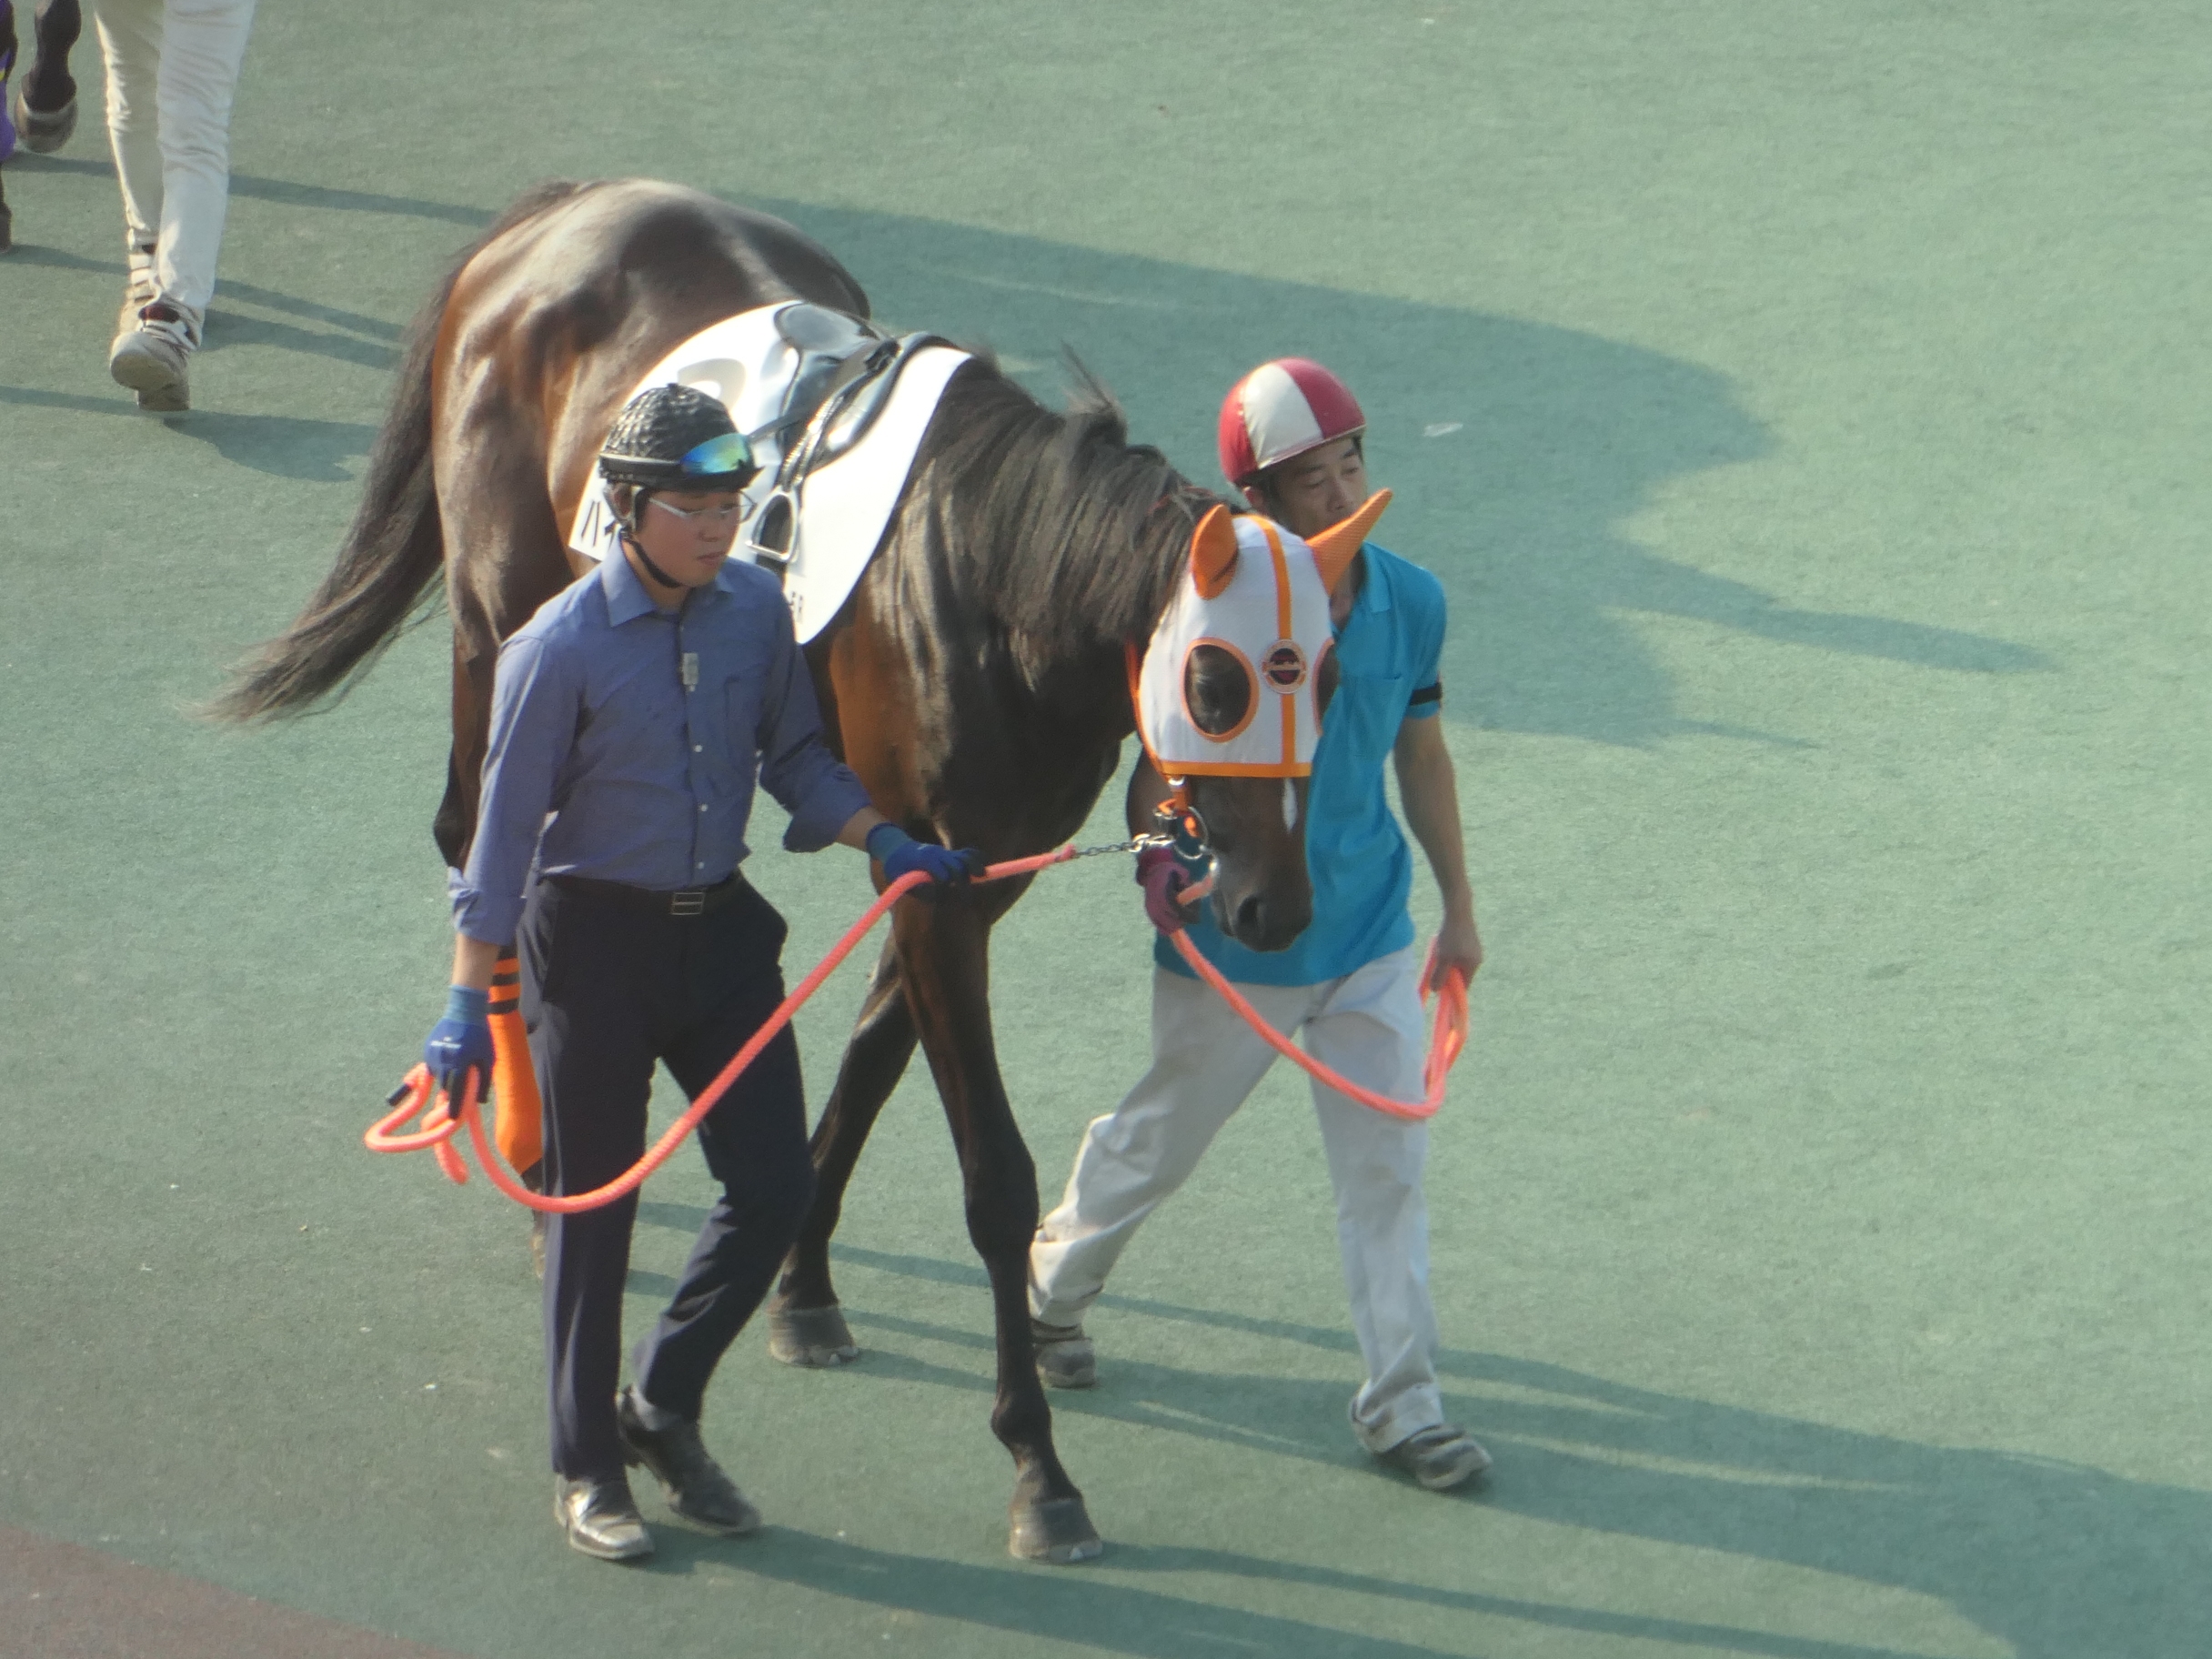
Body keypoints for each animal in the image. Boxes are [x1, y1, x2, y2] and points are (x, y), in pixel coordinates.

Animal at [213, 178, 1324, 1564]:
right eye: (1218, 684)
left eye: (1333, 674)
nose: (1273, 908)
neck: (991, 573)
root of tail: (559, 210)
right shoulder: (945, 879)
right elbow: (995, 1177)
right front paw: (1038, 1469)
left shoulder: (965, 865)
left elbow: (869, 1049)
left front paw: (800, 1290)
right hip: (497, 615)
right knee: (483, 841)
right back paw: (536, 1154)